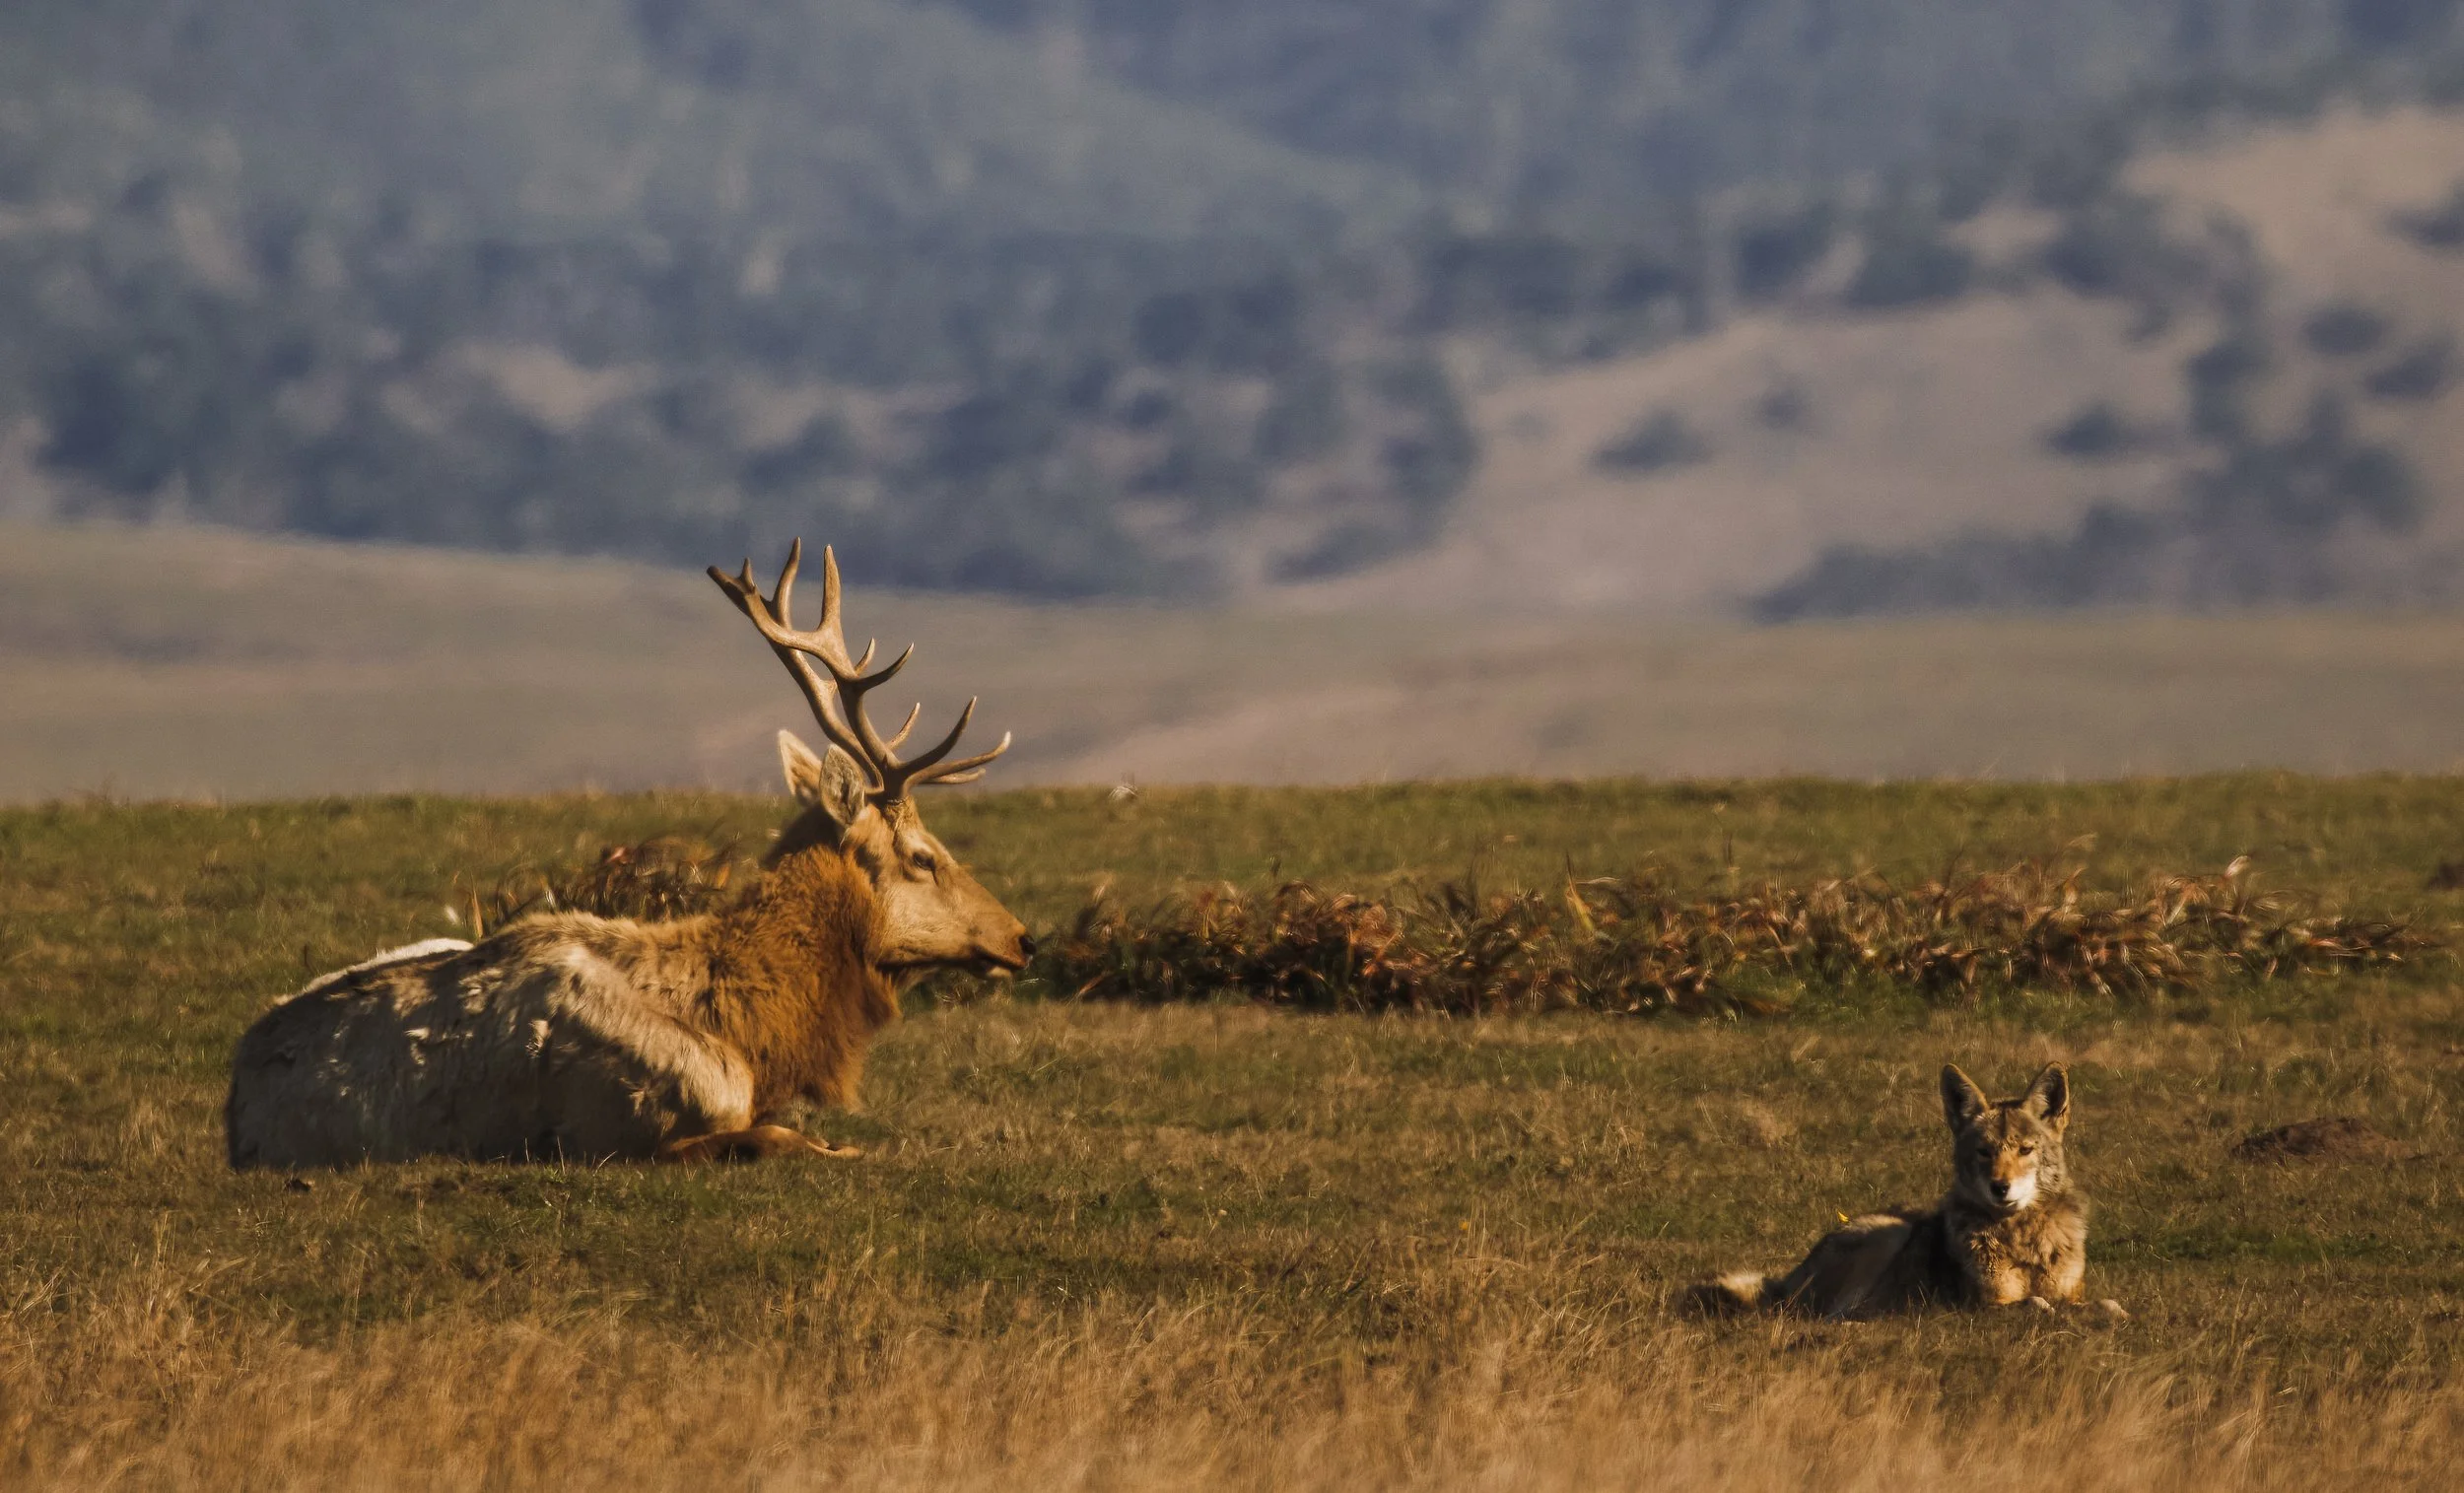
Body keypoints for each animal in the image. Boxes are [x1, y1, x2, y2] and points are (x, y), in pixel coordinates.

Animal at [224, 540, 1034, 1168]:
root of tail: (232, 1105)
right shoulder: (628, 1123)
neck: (751, 1032)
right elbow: (780, 1138)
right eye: (922, 855)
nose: (1022, 938)